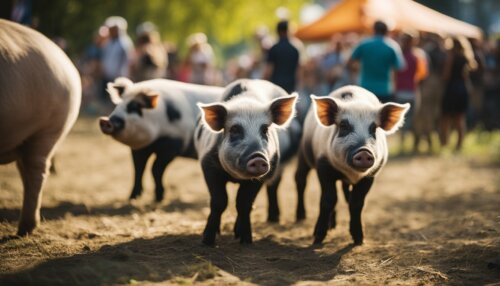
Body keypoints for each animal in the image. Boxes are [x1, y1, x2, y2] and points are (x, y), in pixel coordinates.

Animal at [194, 79, 296, 245]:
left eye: (265, 129)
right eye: (235, 129)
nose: (258, 157)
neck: (236, 177)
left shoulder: (263, 175)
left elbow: (245, 203)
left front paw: (246, 241)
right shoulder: (208, 165)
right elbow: (218, 201)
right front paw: (207, 242)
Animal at [294, 86, 408, 245]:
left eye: (373, 128)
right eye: (343, 126)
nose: (364, 151)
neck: (351, 173)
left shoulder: (371, 175)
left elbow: (357, 202)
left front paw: (359, 240)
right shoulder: (323, 166)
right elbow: (328, 200)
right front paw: (317, 239)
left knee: (346, 194)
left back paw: (333, 225)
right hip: (303, 153)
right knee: (300, 180)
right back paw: (301, 217)